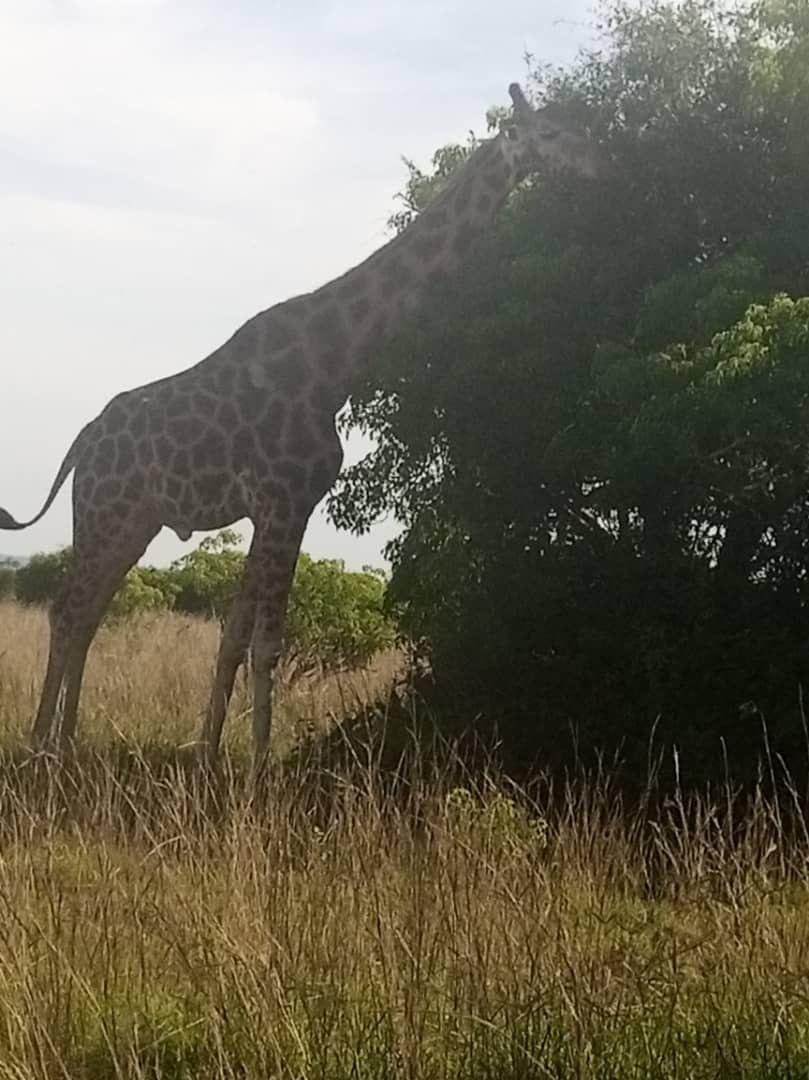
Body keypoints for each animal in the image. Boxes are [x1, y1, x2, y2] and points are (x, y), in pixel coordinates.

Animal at [0, 84, 600, 771]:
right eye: (548, 134)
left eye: (577, 128)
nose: (601, 165)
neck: (333, 363)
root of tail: (82, 443)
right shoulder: (282, 500)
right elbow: (266, 643)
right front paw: (259, 771)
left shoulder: (285, 506)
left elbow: (234, 639)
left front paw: (209, 757)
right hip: (105, 510)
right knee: (67, 610)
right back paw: (38, 747)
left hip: (135, 521)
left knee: (88, 613)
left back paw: (66, 743)